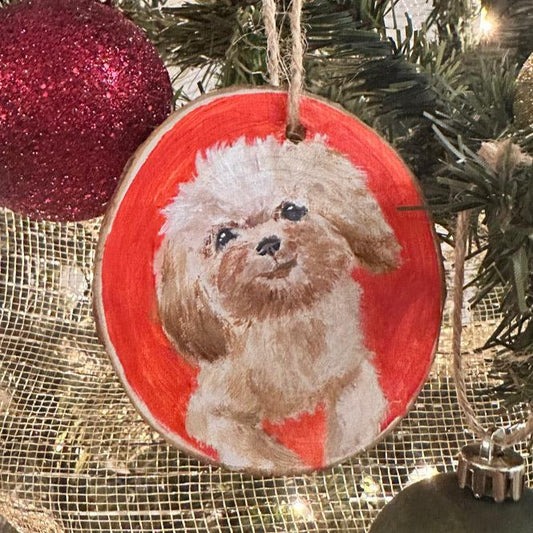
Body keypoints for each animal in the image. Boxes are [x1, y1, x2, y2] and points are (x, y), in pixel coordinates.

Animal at [156, 135, 402, 472]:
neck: (286, 313)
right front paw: (286, 463)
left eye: (292, 210)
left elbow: (351, 423)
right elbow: (251, 445)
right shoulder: (211, 410)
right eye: (224, 237)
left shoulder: (351, 371)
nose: (268, 243)